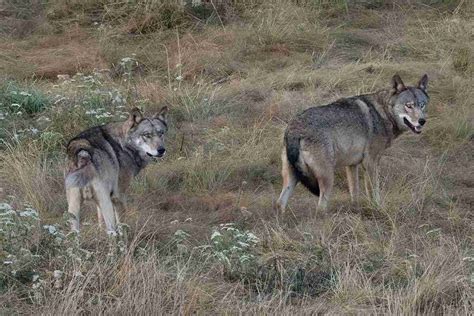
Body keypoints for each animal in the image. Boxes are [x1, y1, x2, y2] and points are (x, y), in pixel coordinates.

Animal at [278, 74, 430, 212]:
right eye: (409, 106)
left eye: (422, 105)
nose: (422, 121)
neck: (383, 113)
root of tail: (293, 129)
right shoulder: (370, 162)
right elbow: (374, 191)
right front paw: (377, 208)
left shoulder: (352, 165)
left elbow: (354, 192)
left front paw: (355, 209)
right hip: (327, 178)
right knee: (320, 207)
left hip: (292, 178)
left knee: (280, 202)